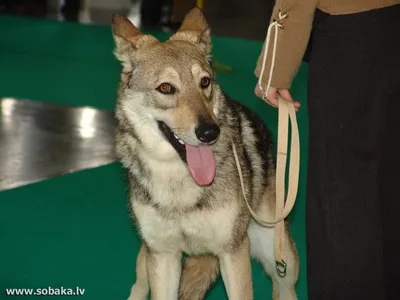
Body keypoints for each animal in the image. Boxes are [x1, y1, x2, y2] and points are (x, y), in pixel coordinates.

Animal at [111, 7, 298, 300]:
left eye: (204, 82)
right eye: (166, 88)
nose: (210, 132)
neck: (179, 182)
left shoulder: (233, 253)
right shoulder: (163, 258)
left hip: (279, 259)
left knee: (284, 288)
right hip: (146, 262)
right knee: (138, 287)